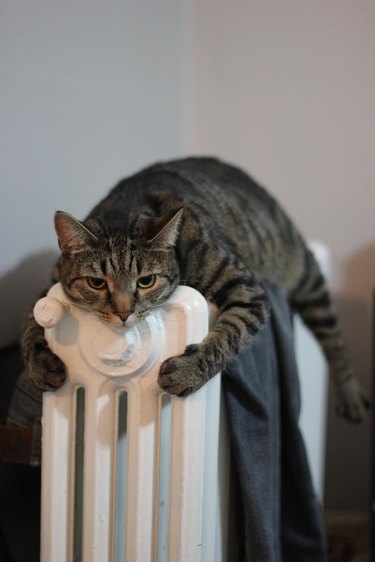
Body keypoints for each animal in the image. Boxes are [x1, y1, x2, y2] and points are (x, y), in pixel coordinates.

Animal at [21, 155, 370, 418]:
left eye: (145, 281)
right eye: (96, 282)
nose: (123, 313)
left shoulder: (248, 289)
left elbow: (229, 334)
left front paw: (189, 370)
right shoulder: (46, 289)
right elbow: (29, 327)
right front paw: (40, 365)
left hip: (307, 277)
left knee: (334, 338)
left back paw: (352, 395)